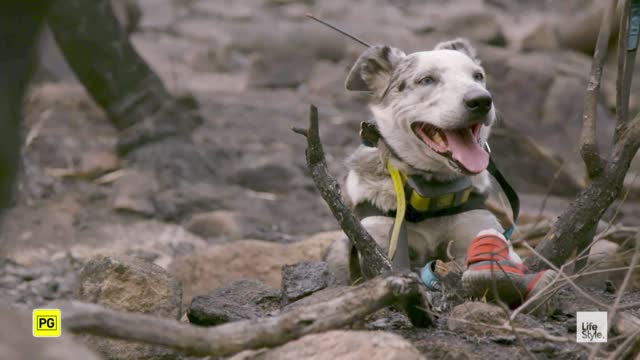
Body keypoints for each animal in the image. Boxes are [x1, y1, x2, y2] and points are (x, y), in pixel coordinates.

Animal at [322, 38, 524, 286]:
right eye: (427, 80)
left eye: (478, 76)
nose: (481, 100)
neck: (433, 194)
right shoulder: (379, 243)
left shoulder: (478, 228)